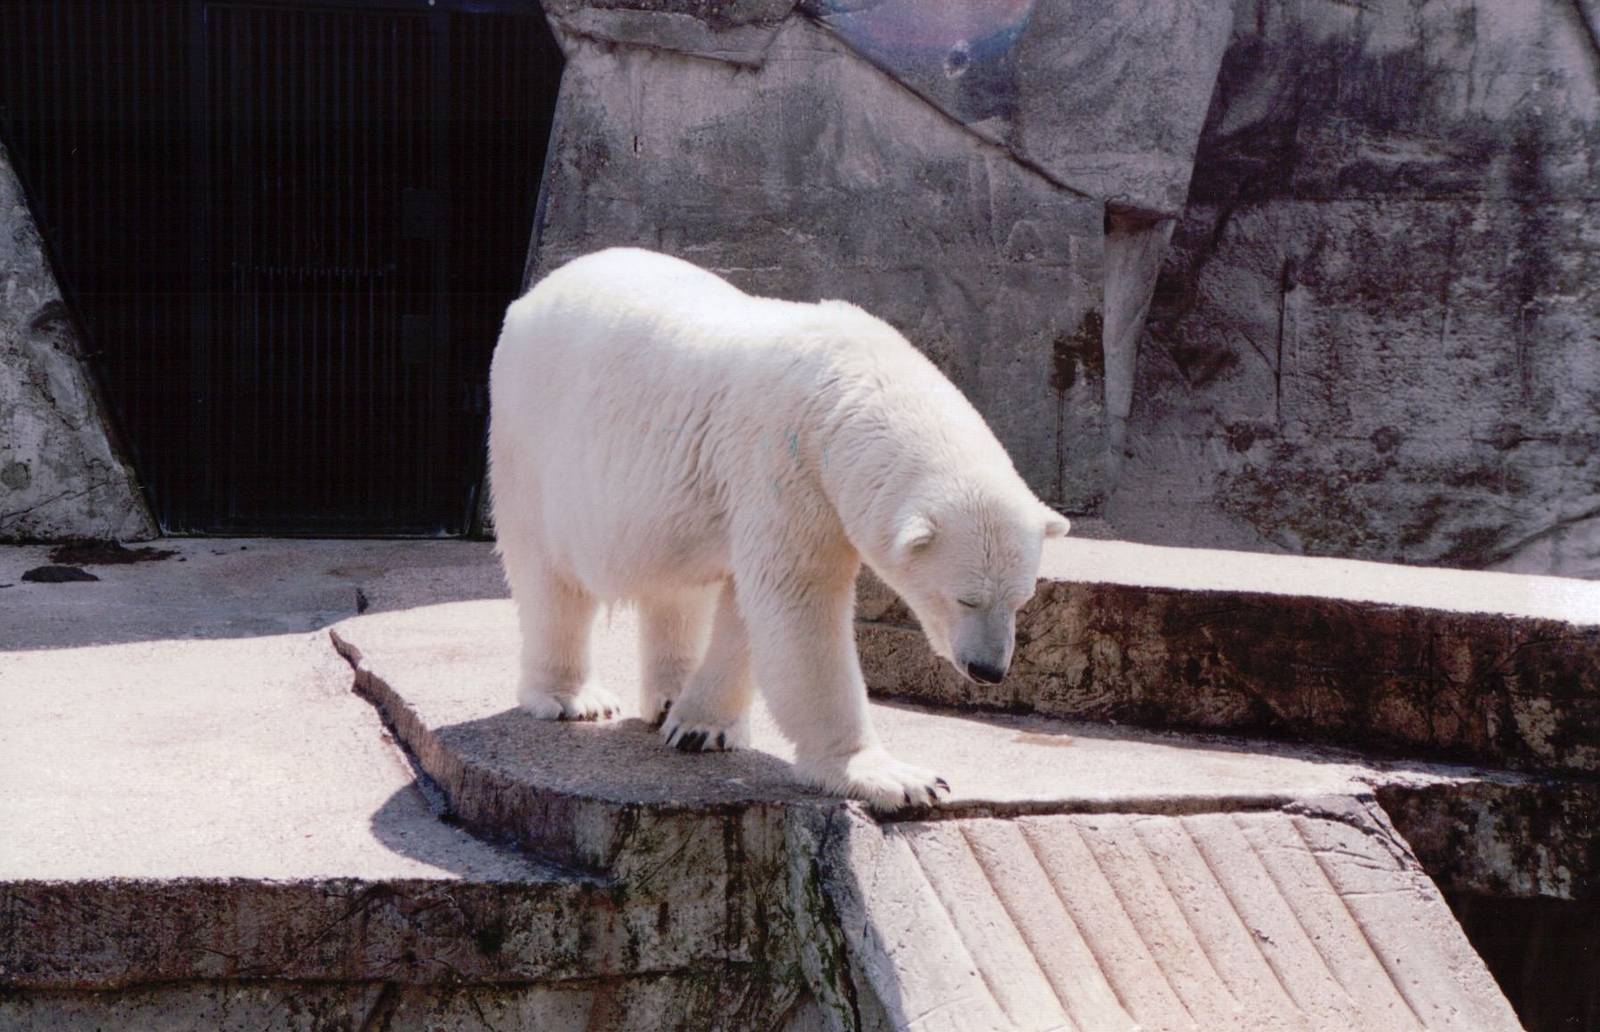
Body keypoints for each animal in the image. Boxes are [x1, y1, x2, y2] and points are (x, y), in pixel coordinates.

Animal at [488, 248, 1069, 809]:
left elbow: (749, 609)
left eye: (1021, 600)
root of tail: (534, 294)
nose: (988, 669)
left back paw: (669, 695)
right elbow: (797, 603)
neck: (848, 389)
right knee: (549, 577)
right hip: (531, 440)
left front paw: (700, 727)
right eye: (965, 597)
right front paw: (895, 778)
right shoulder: (784, 462)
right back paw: (573, 698)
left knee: (676, 588)